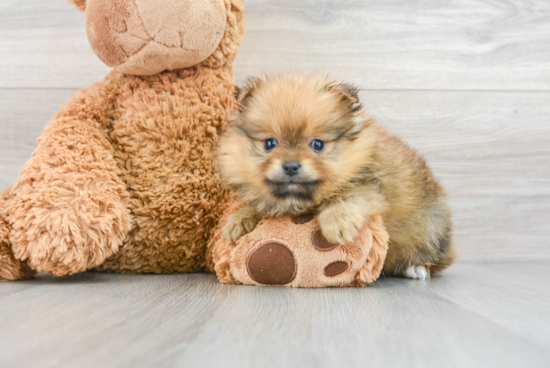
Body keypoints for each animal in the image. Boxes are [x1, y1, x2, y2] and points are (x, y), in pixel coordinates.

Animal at [219, 72, 458, 278]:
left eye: (317, 144)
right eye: (269, 143)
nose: (291, 166)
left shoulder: (372, 186)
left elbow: (348, 196)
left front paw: (338, 224)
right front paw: (238, 221)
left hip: (429, 229)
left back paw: (417, 268)